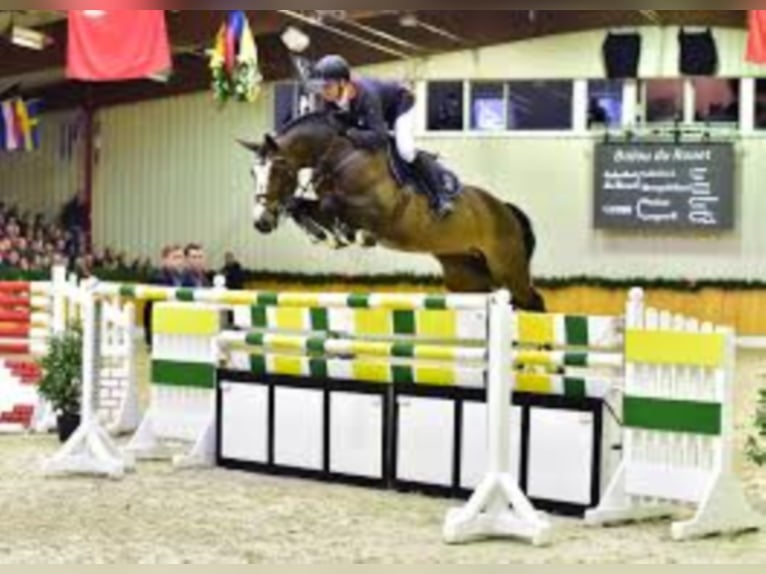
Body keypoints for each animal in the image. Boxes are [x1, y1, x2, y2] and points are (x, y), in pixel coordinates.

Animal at [240, 111, 544, 310]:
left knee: (532, 301)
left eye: (278, 168)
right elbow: (302, 206)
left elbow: (332, 206)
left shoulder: (383, 212)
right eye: (253, 172)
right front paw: (325, 234)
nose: (261, 222)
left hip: (507, 268)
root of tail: (504, 209)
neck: (339, 156)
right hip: (464, 273)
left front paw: (349, 235)